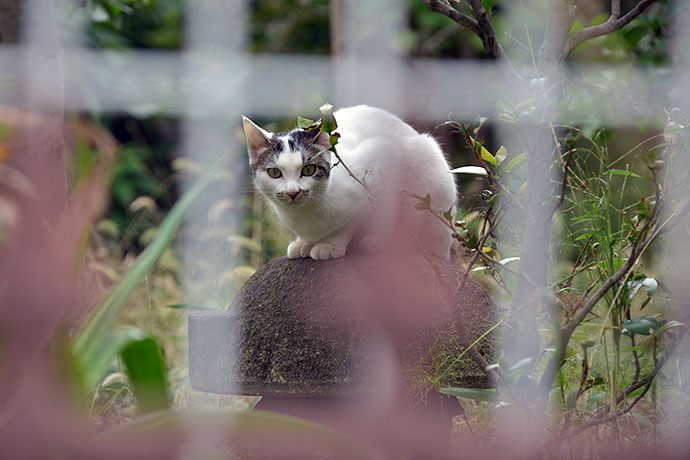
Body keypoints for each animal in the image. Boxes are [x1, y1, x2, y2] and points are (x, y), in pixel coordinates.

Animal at [242, 105, 456, 260]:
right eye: (275, 173)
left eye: (308, 170)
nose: (293, 192)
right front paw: (303, 242)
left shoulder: (382, 158)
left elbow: (359, 219)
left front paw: (330, 244)